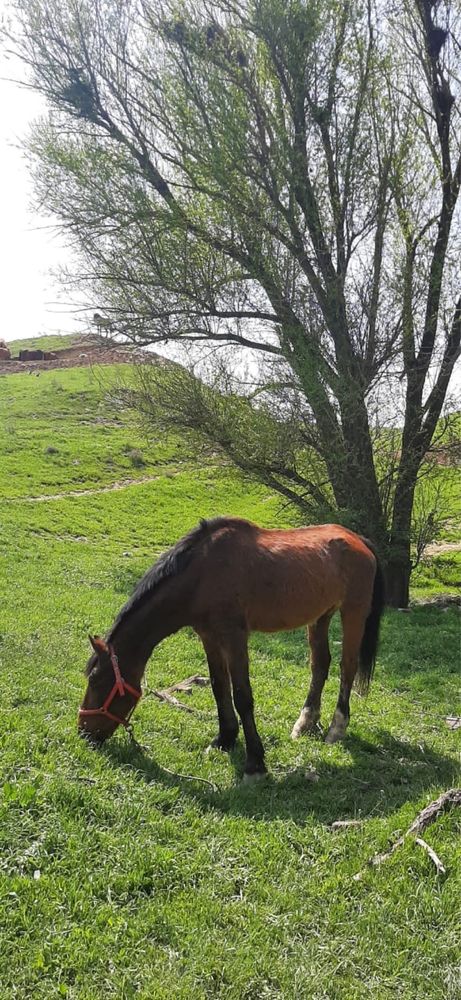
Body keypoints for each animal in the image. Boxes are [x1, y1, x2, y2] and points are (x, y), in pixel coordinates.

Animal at [79, 516, 384, 780]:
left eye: (97, 681)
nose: (84, 732)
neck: (201, 575)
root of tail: (358, 540)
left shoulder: (234, 637)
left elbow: (242, 696)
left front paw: (255, 763)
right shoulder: (209, 637)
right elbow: (219, 687)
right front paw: (224, 739)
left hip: (353, 613)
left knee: (347, 667)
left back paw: (336, 728)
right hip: (320, 617)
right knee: (320, 664)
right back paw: (305, 722)